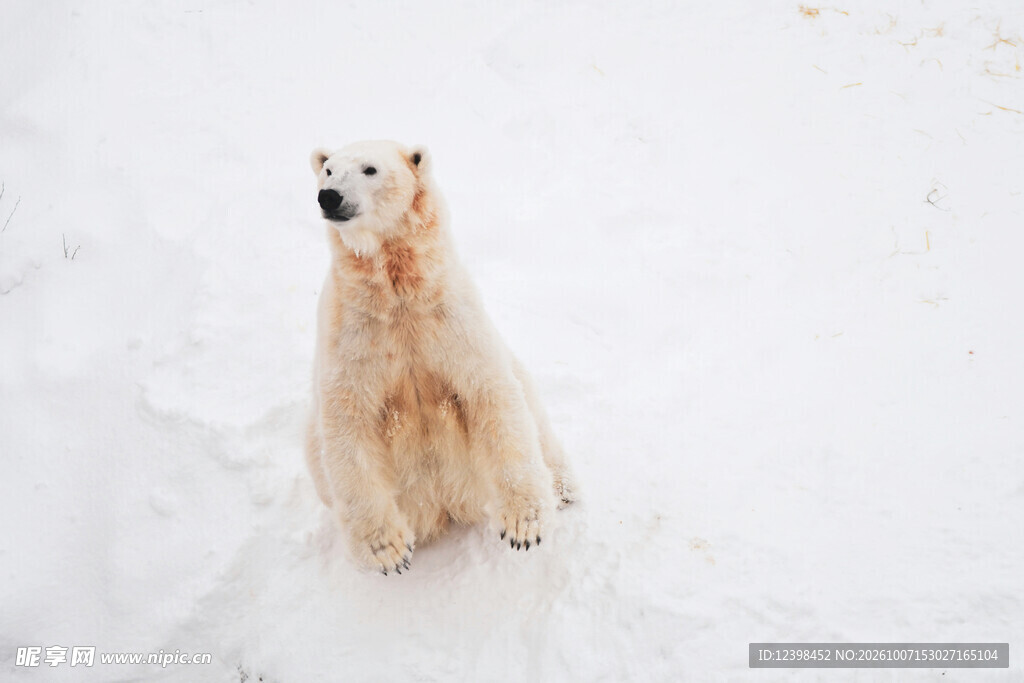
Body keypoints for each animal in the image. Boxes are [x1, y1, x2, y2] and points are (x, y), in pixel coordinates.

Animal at [304, 140, 576, 575]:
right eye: (328, 170)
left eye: (370, 169)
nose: (329, 197)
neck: (399, 291)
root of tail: (444, 506)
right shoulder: (352, 335)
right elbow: (348, 423)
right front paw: (389, 552)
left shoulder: (450, 320)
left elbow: (492, 395)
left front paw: (524, 526)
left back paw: (561, 488)